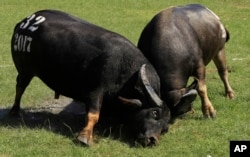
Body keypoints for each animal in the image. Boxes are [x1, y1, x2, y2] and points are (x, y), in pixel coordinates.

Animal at [9, 9, 172, 147]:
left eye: (165, 128)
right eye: (155, 113)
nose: (153, 140)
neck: (126, 72)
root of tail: (24, 21)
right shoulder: (96, 90)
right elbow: (93, 115)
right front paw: (85, 137)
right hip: (25, 71)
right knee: (20, 87)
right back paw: (15, 110)